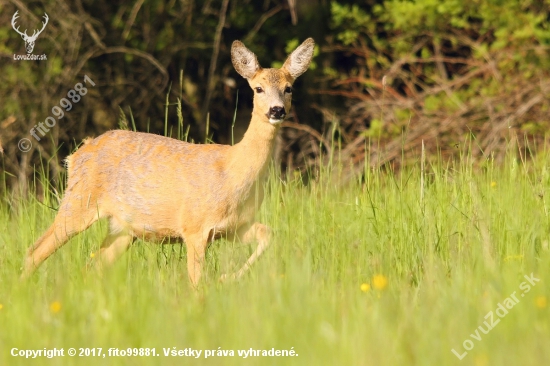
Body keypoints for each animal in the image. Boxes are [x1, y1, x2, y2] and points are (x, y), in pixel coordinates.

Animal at [22, 38, 314, 288]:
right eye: (258, 88)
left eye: (288, 88)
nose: (277, 110)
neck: (233, 172)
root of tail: (76, 155)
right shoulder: (194, 226)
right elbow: (196, 283)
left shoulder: (235, 226)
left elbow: (269, 234)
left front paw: (227, 277)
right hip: (78, 201)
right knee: (35, 251)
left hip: (122, 229)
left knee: (91, 266)